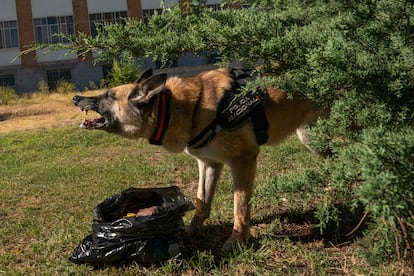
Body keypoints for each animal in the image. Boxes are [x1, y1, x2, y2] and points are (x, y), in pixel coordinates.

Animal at [73, 67, 326, 250]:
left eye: (108, 95)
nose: (75, 97)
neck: (180, 107)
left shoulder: (243, 161)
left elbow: (240, 208)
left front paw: (237, 241)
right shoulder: (209, 164)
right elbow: (202, 203)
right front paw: (189, 232)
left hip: (310, 136)